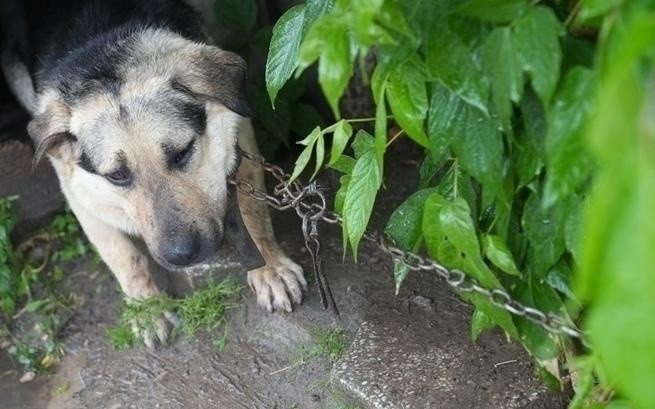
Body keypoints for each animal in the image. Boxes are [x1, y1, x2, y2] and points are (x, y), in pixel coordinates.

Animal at [0, 0, 308, 344]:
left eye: (182, 152)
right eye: (117, 175)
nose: (183, 256)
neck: (101, 54)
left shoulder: (240, 135)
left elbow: (253, 210)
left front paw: (270, 267)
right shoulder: (78, 191)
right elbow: (122, 255)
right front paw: (146, 307)